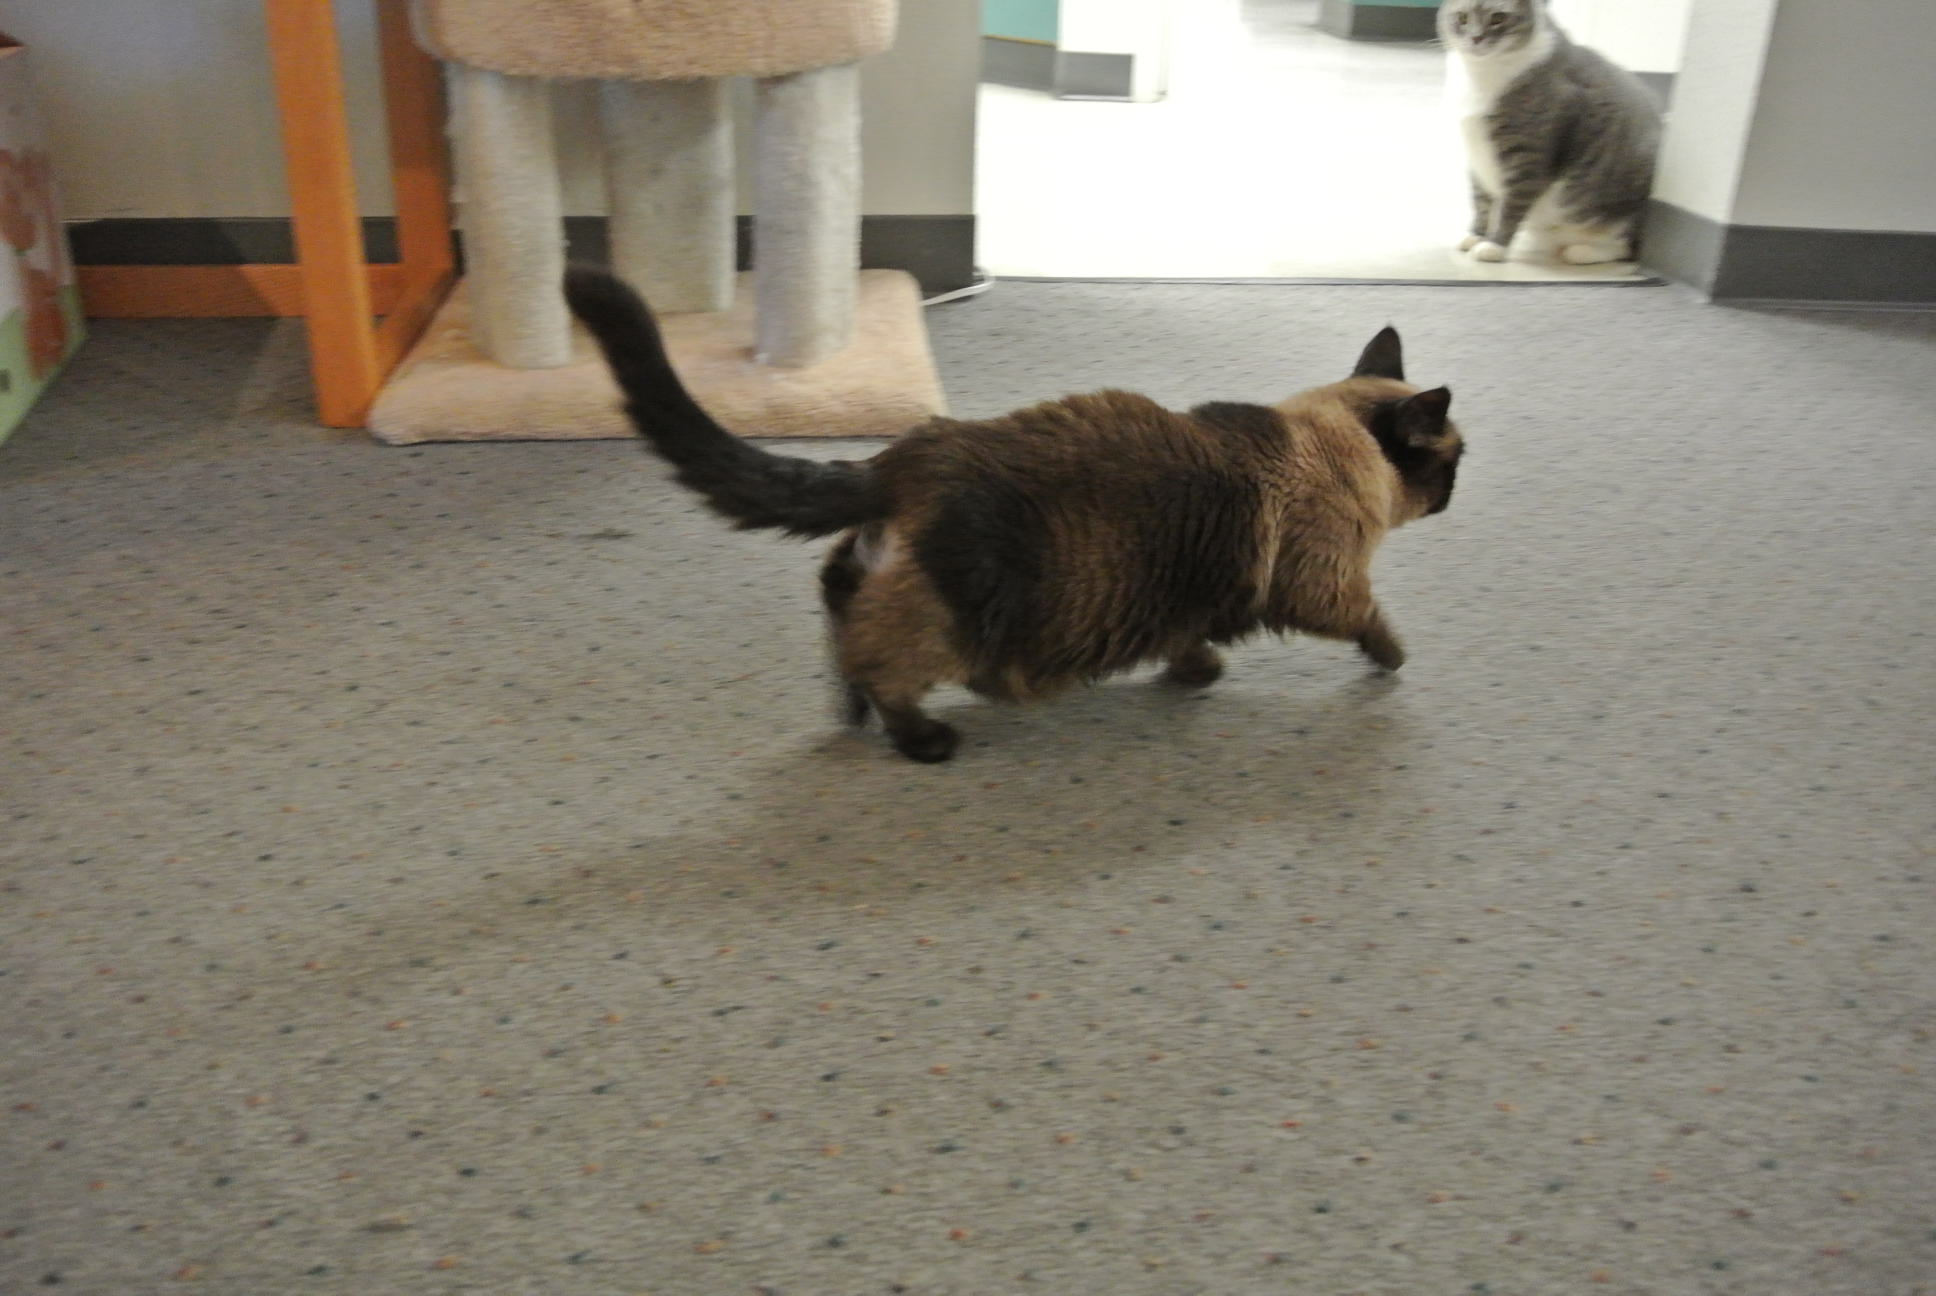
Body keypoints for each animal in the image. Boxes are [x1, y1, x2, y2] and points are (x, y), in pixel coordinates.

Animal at [564, 267, 1465, 763]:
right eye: (1454, 459)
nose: (1459, 490)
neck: (1333, 437)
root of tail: (915, 452)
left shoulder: (1185, 596)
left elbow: (1188, 641)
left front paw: (1197, 673)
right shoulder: (1322, 585)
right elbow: (1372, 623)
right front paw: (1395, 660)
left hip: (882, 575)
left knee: (840, 616)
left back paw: (852, 715)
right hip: (957, 620)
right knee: (880, 661)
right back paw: (921, 740)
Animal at [1439, 0, 1661, 265]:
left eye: (1498, 18)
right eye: (1462, 17)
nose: (1476, 38)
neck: (1482, 71)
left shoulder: (1528, 155)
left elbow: (1512, 206)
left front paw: (1494, 246)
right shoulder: (1476, 158)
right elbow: (1481, 201)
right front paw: (1476, 235)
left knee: (1626, 247)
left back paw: (1581, 252)